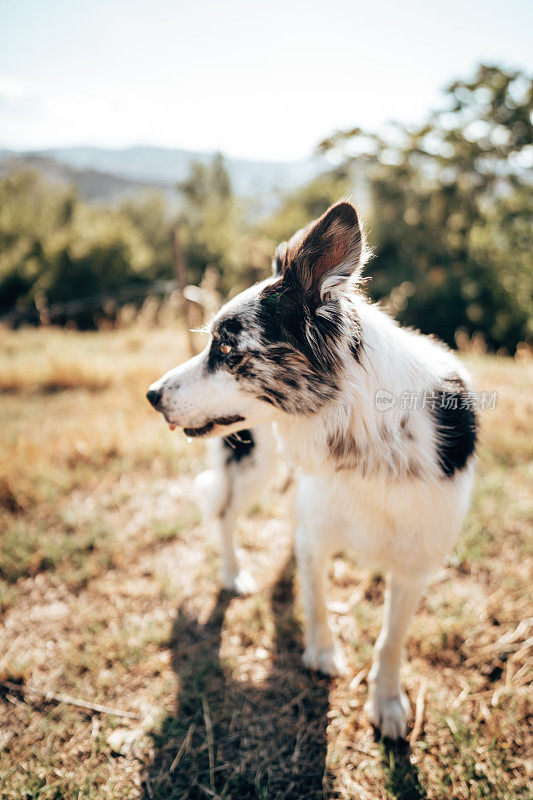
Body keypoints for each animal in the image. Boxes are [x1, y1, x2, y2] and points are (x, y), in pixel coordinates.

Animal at [145, 200, 474, 736]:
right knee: (223, 513)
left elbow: (391, 640)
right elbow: (316, 599)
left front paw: (387, 702)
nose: (151, 396)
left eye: (227, 349)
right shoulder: (318, 532)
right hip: (253, 464)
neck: (363, 444)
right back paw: (234, 573)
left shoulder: (416, 561)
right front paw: (322, 654)